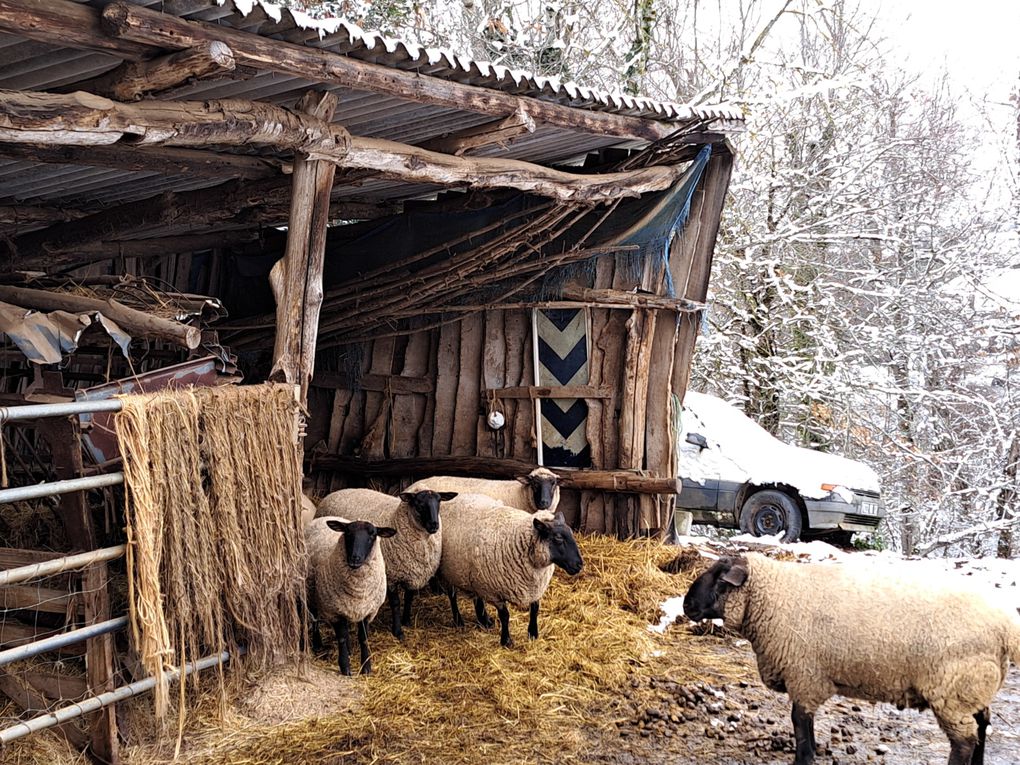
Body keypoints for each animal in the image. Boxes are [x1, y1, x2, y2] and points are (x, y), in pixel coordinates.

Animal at [301, 516, 393, 677]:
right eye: (348, 533)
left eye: (373, 534)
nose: (355, 559)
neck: (358, 588)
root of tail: (321, 518)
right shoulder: (335, 611)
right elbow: (342, 637)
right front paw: (345, 667)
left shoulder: (368, 611)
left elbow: (364, 638)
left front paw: (366, 667)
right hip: (310, 591)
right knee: (314, 618)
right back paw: (318, 644)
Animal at [310, 491, 454, 640]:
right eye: (418, 504)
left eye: (439, 501)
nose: (434, 525)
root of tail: (332, 494)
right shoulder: (390, 576)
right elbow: (395, 603)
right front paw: (398, 631)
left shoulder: (413, 572)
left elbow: (409, 598)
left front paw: (406, 621)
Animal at [436, 493, 583, 648]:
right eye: (558, 538)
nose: (579, 565)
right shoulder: (494, 591)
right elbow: (505, 616)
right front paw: (506, 641)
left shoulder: (534, 587)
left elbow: (535, 609)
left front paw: (533, 633)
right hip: (448, 573)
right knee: (452, 597)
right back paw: (459, 620)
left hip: (474, 575)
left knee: (477, 597)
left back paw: (484, 621)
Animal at [681, 550, 1020, 765]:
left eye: (719, 578)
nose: (686, 605)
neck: (774, 597)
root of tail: (1005, 625)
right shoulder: (809, 677)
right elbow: (805, 723)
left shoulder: (804, 675)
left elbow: (799, 723)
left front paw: (804, 758)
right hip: (972, 687)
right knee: (982, 724)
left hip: (952, 688)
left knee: (964, 741)